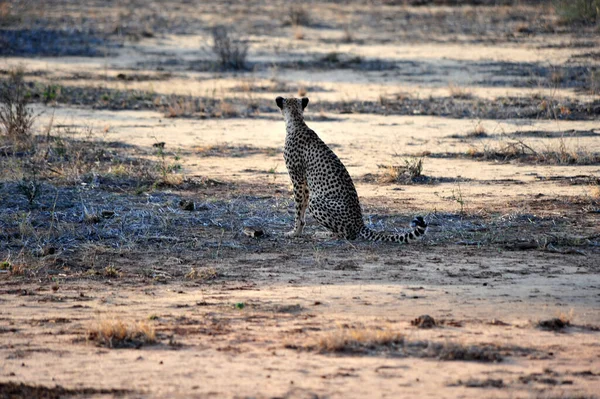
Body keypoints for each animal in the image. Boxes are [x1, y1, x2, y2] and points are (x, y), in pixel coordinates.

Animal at [276, 96, 426, 244]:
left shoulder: (298, 180)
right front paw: (297, 231)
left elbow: (298, 209)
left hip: (317, 201)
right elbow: (301, 209)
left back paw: (324, 234)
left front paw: (294, 232)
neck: (297, 122)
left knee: (347, 234)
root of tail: (360, 223)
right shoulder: (305, 183)